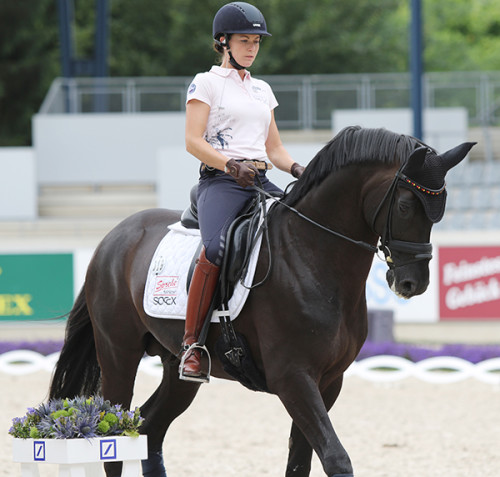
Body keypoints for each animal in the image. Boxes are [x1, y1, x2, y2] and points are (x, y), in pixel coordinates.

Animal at [48, 127, 474, 476]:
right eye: (404, 206)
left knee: (150, 429)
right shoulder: (293, 378)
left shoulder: (328, 381)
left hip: (178, 369)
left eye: (440, 209)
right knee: (117, 441)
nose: (412, 283)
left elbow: (301, 461)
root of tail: (113, 237)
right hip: (118, 353)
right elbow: (336, 458)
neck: (311, 254)